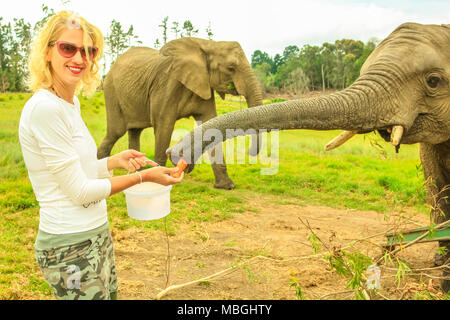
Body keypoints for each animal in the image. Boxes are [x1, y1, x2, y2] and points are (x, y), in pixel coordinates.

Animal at [96, 37, 262, 190]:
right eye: (231, 68)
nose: (249, 152)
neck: (208, 44)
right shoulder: (167, 84)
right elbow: (164, 125)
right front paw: (161, 182)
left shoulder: (204, 86)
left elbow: (211, 124)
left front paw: (227, 186)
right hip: (111, 92)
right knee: (116, 131)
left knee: (135, 131)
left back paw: (139, 170)